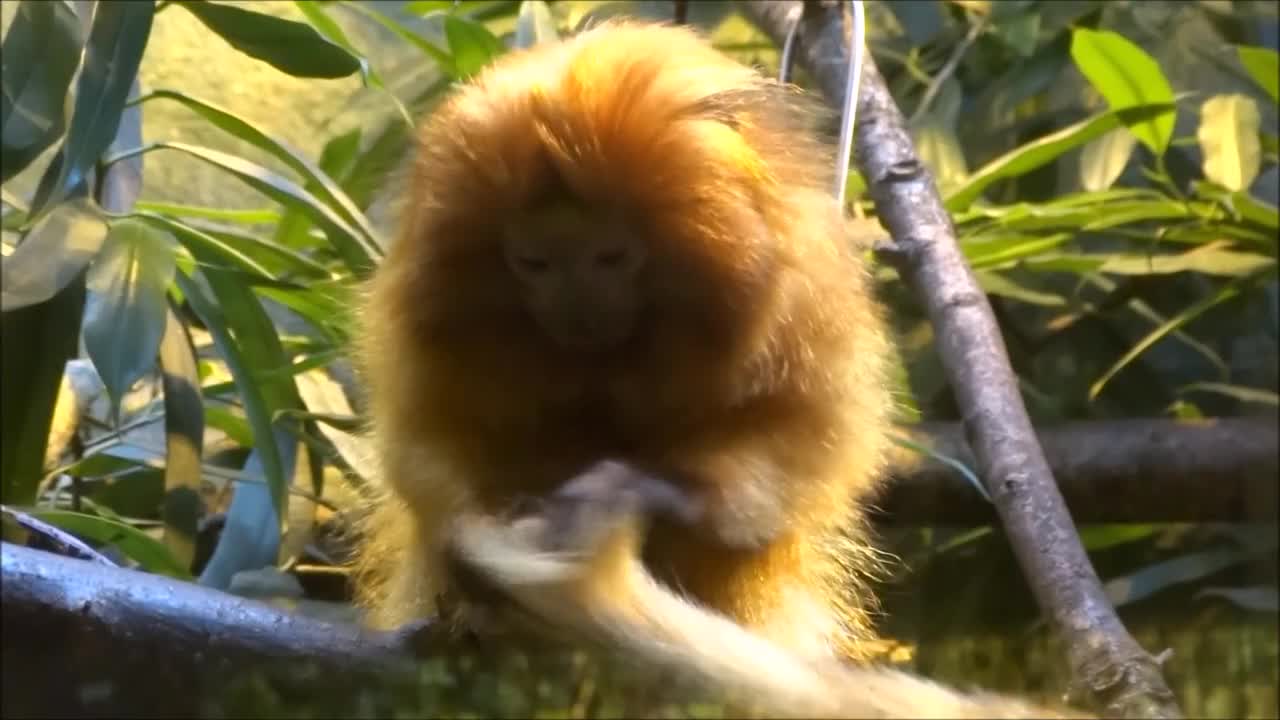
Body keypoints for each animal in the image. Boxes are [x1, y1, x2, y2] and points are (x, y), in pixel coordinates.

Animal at [350, 19, 1089, 719]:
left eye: (609, 258)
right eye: (536, 263)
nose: (576, 306)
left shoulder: (798, 295)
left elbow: (805, 444)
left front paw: (653, 493)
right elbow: (426, 453)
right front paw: (475, 572)